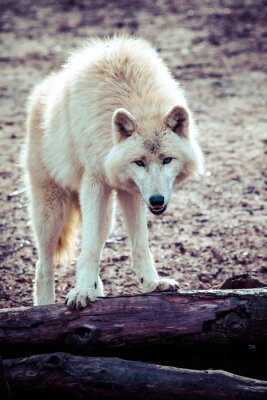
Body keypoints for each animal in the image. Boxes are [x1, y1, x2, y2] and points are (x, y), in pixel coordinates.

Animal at [24, 35, 205, 310]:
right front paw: (80, 292)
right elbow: (87, 251)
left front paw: (152, 284)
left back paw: (96, 291)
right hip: (52, 212)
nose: (157, 201)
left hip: (106, 217)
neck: (138, 101)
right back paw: (45, 305)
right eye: (139, 162)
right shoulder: (95, 181)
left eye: (167, 160)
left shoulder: (131, 192)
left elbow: (140, 243)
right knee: (43, 264)